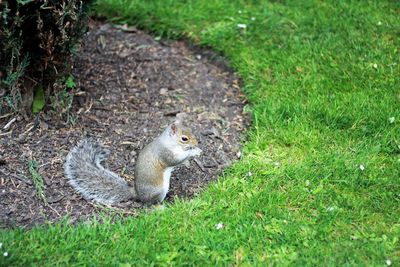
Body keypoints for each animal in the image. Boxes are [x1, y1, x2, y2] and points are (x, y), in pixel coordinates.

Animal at [65, 123, 203, 205]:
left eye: (191, 130)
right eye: (184, 138)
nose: (197, 143)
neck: (170, 143)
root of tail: (137, 194)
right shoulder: (165, 154)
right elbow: (174, 160)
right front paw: (194, 152)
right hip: (158, 191)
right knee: (151, 204)